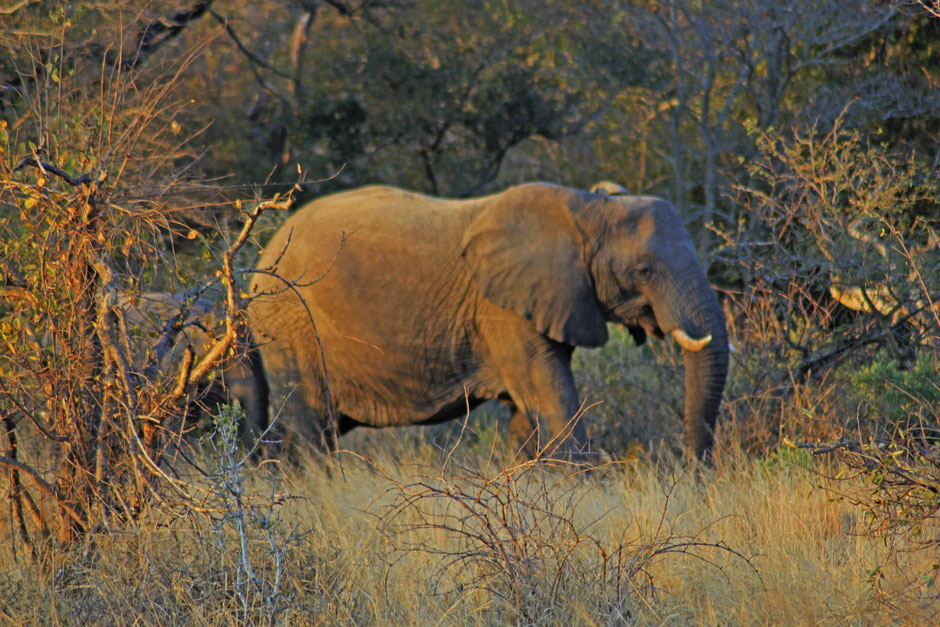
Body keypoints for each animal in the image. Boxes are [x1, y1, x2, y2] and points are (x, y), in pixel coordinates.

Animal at [248, 182, 728, 462]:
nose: (692, 470)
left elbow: (527, 416)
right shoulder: (504, 312)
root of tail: (260, 257)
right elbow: (552, 401)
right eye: (644, 271)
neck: (588, 207)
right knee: (312, 431)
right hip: (289, 328)